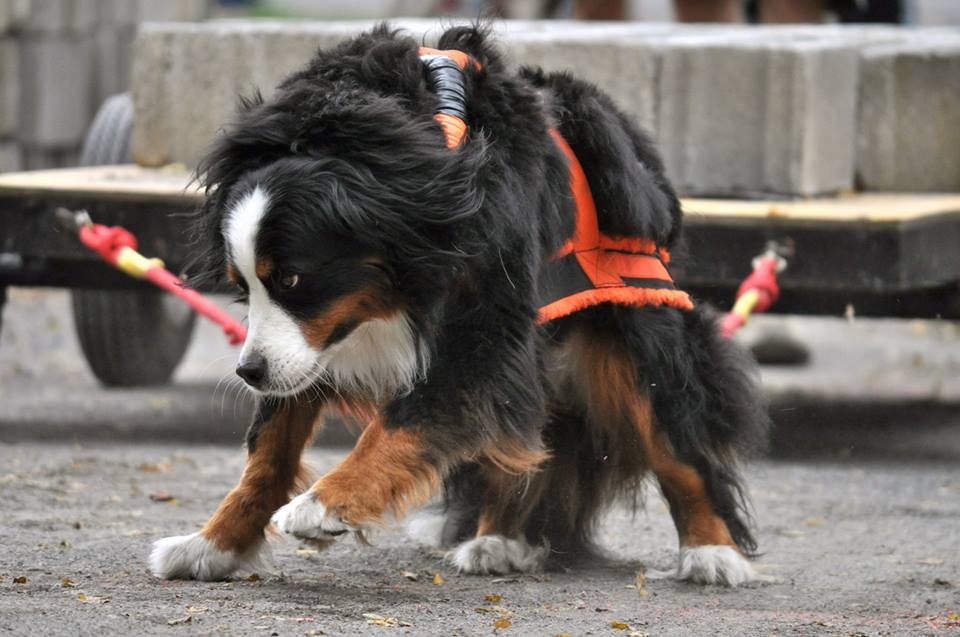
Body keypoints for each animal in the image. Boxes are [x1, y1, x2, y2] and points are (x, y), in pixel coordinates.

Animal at [148, 23, 764, 588]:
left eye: (295, 278)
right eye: (244, 285)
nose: (248, 372)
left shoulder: (481, 322)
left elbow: (403, 422)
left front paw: (321, 507)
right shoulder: (313, 341)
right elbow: (268, 451)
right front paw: (211, 546)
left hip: (631, 329)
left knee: (674, 440)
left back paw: (712, 552)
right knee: (530, 436)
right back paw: (499, 539)